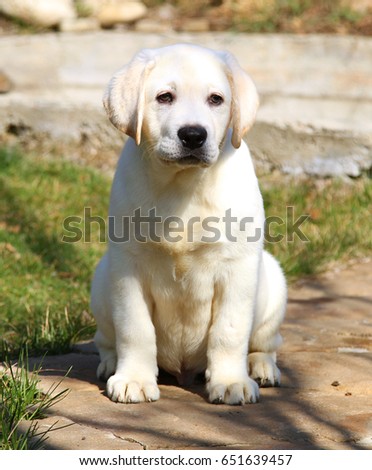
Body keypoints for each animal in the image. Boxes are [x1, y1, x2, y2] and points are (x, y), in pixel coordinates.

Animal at [91, 43, 288, 404]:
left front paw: (230, 381)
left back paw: (260, 367)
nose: (194, 135)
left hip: (273, 285)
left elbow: (229, 331)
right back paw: (111, 362)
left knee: (265, 343)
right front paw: (134, 379)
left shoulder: (237, 268)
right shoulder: (128, 267)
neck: (183, 185)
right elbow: (135, 329)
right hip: (102, 278)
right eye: (164, 97)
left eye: (216, 99)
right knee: (106, 339)